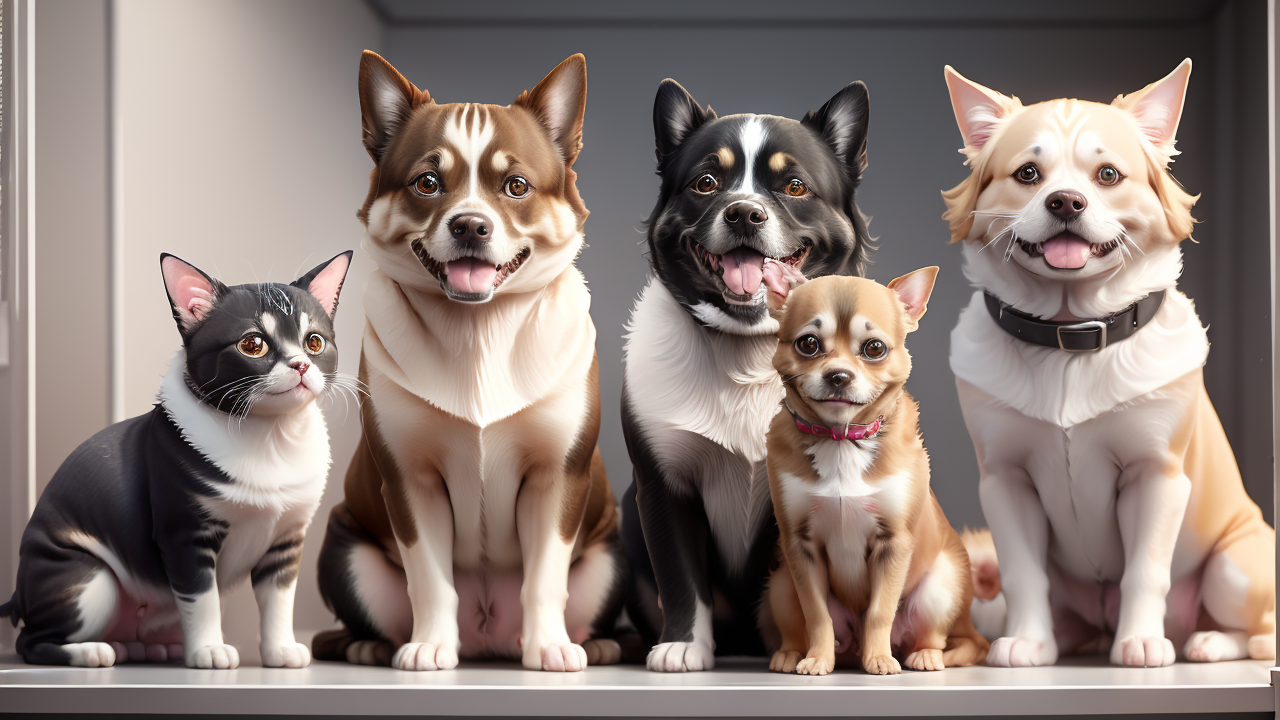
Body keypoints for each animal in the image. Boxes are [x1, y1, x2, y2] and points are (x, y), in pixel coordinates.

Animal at [1, 252, 350, 666]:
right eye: (253, 345)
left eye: (314, 342)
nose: (301, 364)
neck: (271, 435)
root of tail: (18, 595)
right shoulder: (186, 535)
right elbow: (202, 598)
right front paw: (209, 650)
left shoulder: (285, 542)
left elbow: (278, 602)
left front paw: (279, 650)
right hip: (88, 581)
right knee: (30, 641)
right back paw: (90, 652)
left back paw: (147, 647)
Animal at [314, 51, 624, 671]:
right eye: (427, 183)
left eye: (516, 186)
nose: (470, 225)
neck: (480, 328)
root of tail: (489, 639)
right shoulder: (410, 481)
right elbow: (430, 577)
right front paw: (431, 646)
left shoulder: (558, 479)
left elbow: (545, 577)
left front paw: (550, 647)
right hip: (344, 549)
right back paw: (372, 645)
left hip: (611, 556)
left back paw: (591, 643)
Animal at [619, 78, 870, 666]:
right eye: (706, 183)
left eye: (795, 186)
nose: (743, 213)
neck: (748, 347)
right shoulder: (663, 488)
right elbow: (680, 575)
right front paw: (682, 646)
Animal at [757, 270, 988, 671]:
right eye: (808, 344)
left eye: (875, 348)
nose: (838, 375)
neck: (841, 438)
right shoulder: (800, 547)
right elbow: (816, 614)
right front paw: (817, 660)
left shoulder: (893, 544)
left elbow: (880, 611)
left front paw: (879, 660)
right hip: (781, 582)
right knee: (800, 622)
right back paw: (791, 653)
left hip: (943, 585)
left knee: (935, 636)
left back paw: (921, 655)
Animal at [947, 58, 1274, 666]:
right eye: (1028, 174)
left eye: (1107, 176)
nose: (1065, 201)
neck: (1070, 337)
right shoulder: (1005, 481)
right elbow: (1023, 574)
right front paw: (1029, 643)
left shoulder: (1155, 476)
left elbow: (1145, 571)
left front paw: (1140, 642)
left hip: (1233, 567)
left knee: (1260, 630)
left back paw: (1208, 642)